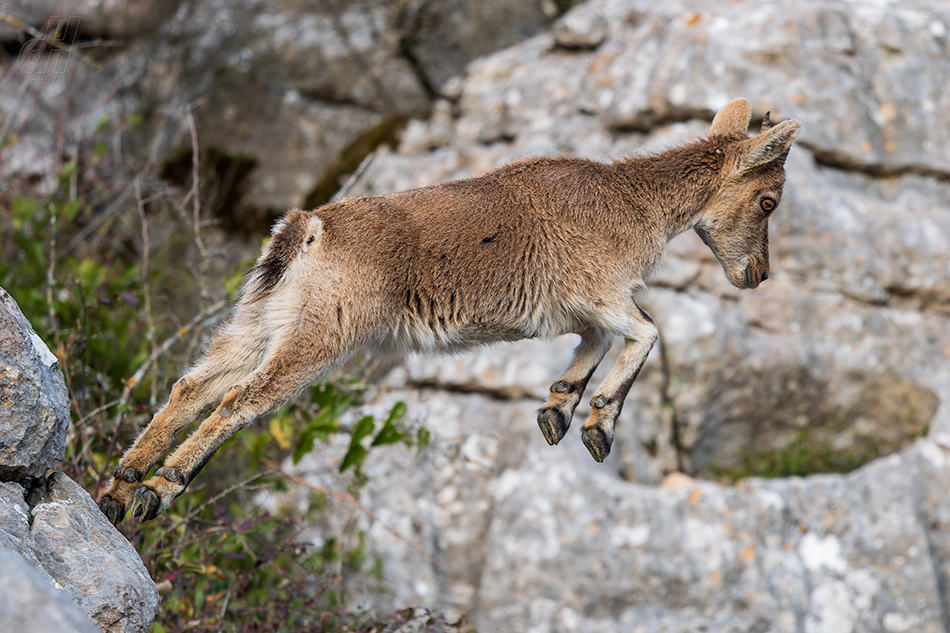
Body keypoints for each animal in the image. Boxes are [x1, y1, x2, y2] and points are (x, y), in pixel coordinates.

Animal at [98, 99, 800, 525]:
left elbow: (598, 344)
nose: (757, 275)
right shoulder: (600, 289)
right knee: (239, 399)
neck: (632, 205)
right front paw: (597, 424)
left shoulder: (575, 310)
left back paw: (121, 484)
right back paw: (162, 487)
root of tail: (310, 228)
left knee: (193, 384)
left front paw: (558, 409)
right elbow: (647, 333)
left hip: (260, 319)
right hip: (321, 333)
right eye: (768, 200)